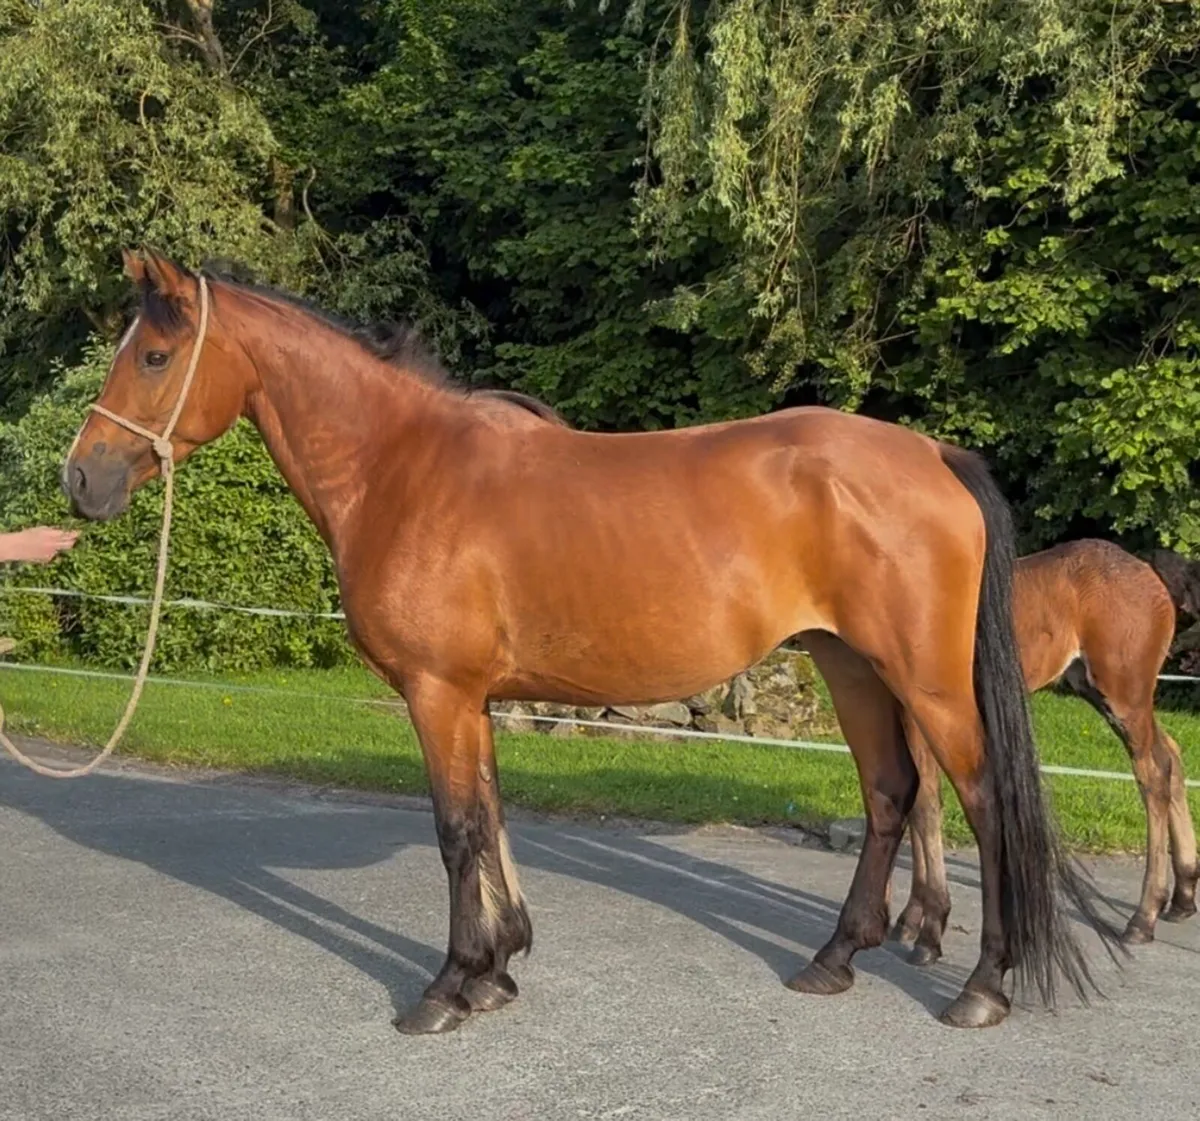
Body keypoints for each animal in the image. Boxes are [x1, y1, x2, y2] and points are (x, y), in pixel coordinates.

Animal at [62, 249, 1121, 1034]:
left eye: (154, 356)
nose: (81, 478)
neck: (404, 469)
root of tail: (932, 452)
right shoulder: (471, 697)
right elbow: (489, 816)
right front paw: (496, 970)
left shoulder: (437, 692)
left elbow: (455, 831)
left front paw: (448, 987)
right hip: (850, 663)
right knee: (893, 792)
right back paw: (833, 959)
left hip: (927, 680)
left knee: (983, 802)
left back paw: (982, 986)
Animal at [893, 539, 1198, 964]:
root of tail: (1148, 571)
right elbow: (916, 804)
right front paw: (909, 920)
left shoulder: (923, 714)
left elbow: (925, 808)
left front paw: (927, 934)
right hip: (1105, 693)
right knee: (1171, 754)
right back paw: (1182, 897)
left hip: (1125, 696)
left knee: (1153, 774)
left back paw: (1143, 918)